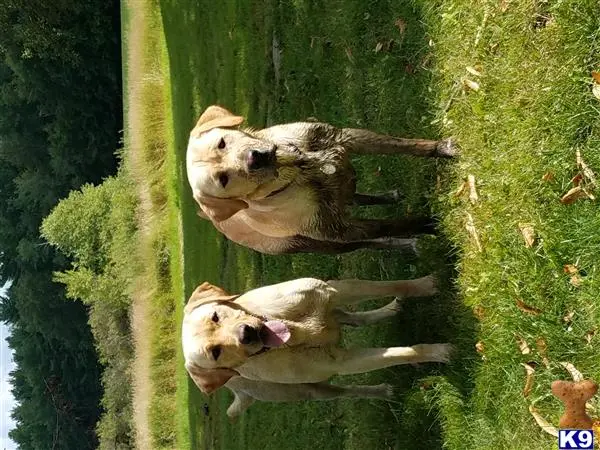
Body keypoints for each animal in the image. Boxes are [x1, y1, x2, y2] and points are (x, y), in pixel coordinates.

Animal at [183, 276, 450, 420]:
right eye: (215, 353)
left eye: (216, 316)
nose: (245, 334)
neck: (296, 332)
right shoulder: (343, 362)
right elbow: (403, 353)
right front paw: (440, 352)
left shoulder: (333, 290)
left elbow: (394, 286)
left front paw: (426, 285)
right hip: (308, 390)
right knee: (344, 392)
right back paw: (380, 392)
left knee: (352, 318)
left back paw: (390, 309)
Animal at [188, 103, 454, 255]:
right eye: (223, 180)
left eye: (222, 142)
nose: (254, 159)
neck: (298, 168)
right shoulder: (340, 230)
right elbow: (394, 226)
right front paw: (431, 224)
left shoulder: (344, 137)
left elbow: (407, 146)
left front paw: (444, 148)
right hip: (324, 245)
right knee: (375, 240)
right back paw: (404, 243)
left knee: (353, 196)